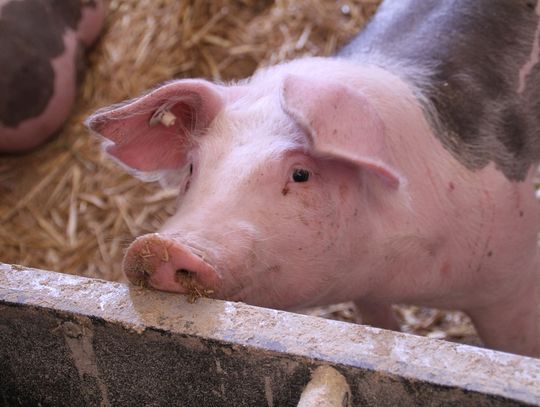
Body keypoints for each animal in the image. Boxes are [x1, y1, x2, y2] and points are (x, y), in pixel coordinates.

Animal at [86, 0, 540, 356]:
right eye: (194, 168)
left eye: (301, 174)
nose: (158, 248)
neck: (388, 265)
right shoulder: (367, 291)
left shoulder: (510, 283)